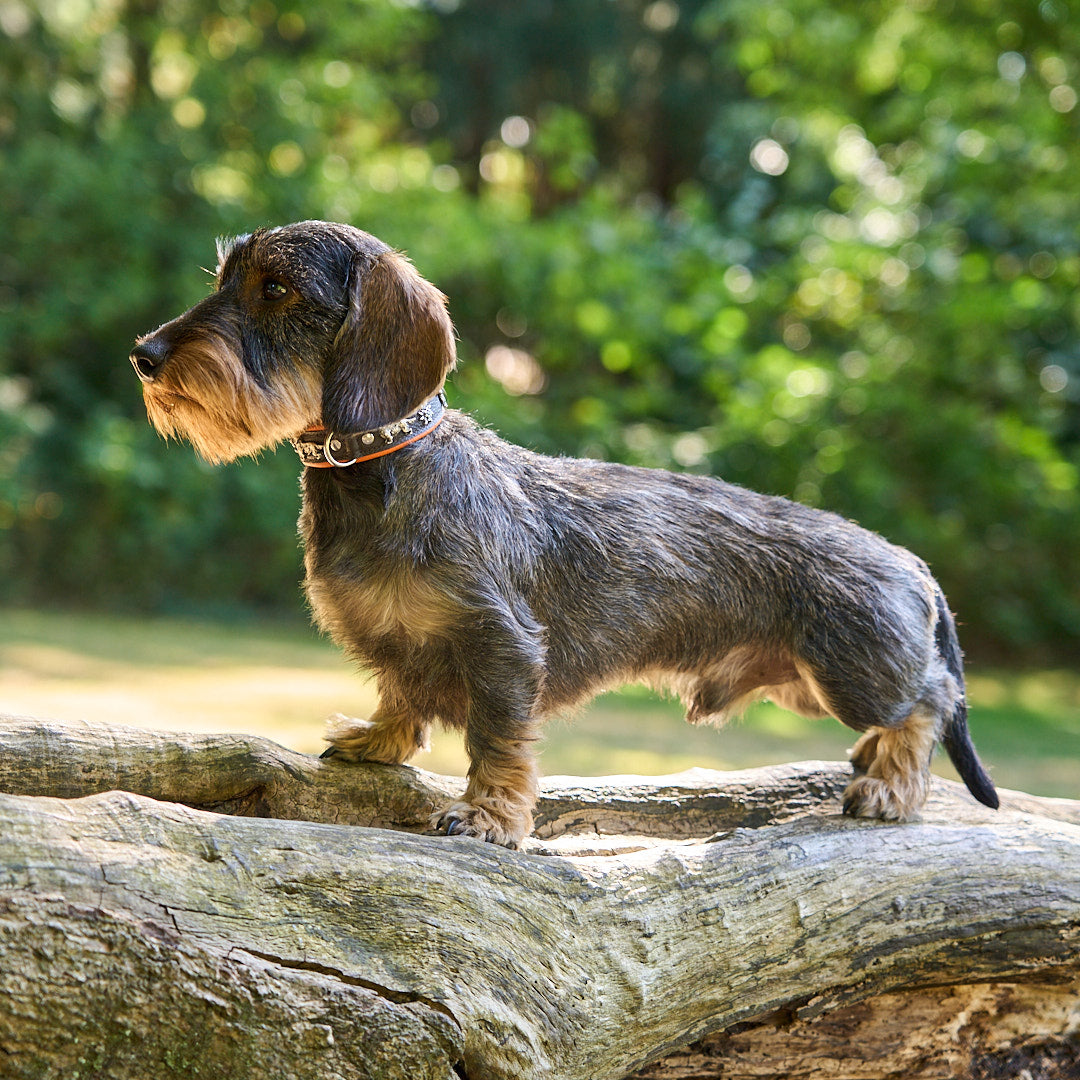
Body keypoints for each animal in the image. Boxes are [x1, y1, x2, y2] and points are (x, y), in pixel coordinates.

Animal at [130, 217, 997, 842]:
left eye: (275, 287)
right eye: (225, 279)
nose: (144, 353)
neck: (385, 467)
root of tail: (909, 562)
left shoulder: (503, 646)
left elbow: (498, 740)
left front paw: (488, 815)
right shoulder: (402, 641)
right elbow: (401, 690)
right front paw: (378, 739)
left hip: (848, 671)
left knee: (931, 699)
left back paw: (890, 785)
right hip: (810, 682)